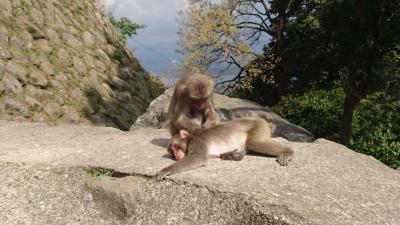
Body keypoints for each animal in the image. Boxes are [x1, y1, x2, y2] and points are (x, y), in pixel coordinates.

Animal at [156, 117, 294, 180]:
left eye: (175, 146)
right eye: (171, 151)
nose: (175, 154)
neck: (191, 138)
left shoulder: (198, 142)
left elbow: (198, 157)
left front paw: (167, 169)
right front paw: (231, 155)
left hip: (259, 126)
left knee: (253, 142)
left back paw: (288, 151)